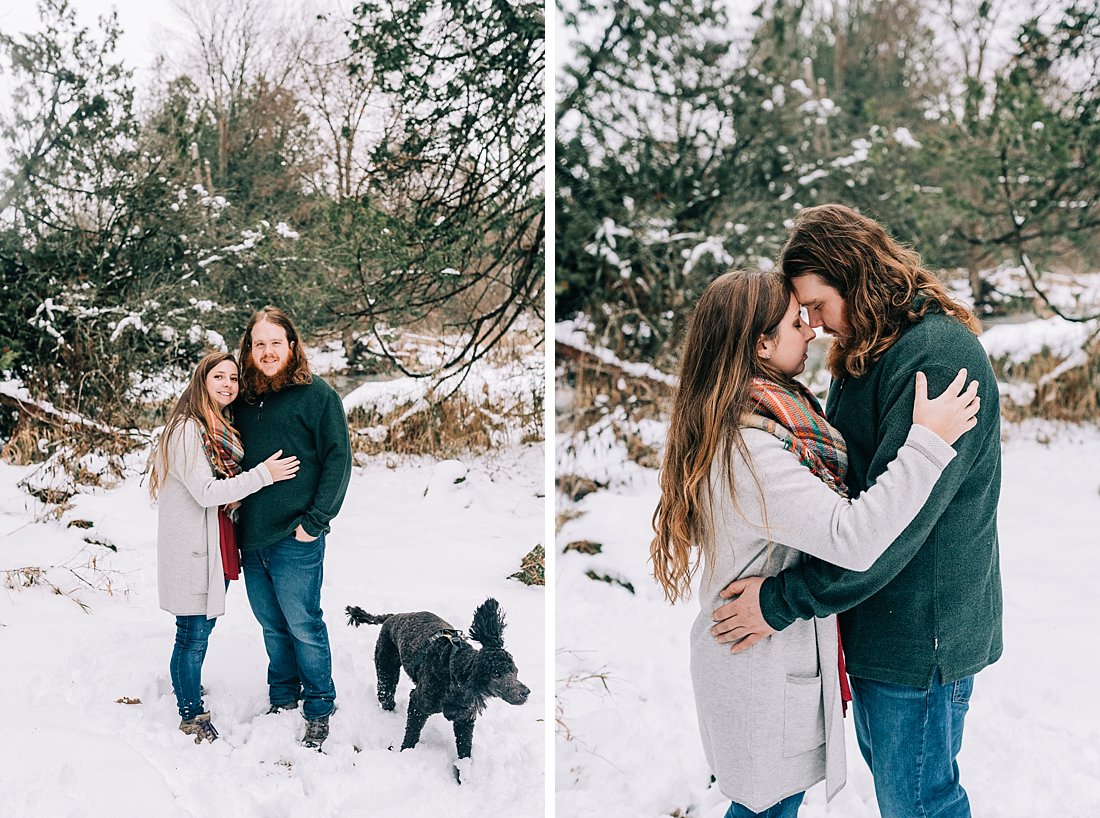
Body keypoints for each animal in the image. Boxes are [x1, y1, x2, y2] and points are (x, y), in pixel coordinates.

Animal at [345, 598, 530, 782]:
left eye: (515, 671)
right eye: (497, 674)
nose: (526, 692)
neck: (454, 670)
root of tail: (394, 616)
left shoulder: (464, 719)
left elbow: (464, 749)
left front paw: (464, 777)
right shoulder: (418, 704)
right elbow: (412, 733)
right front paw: (406, 753)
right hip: (387, 669)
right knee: (386, 696)